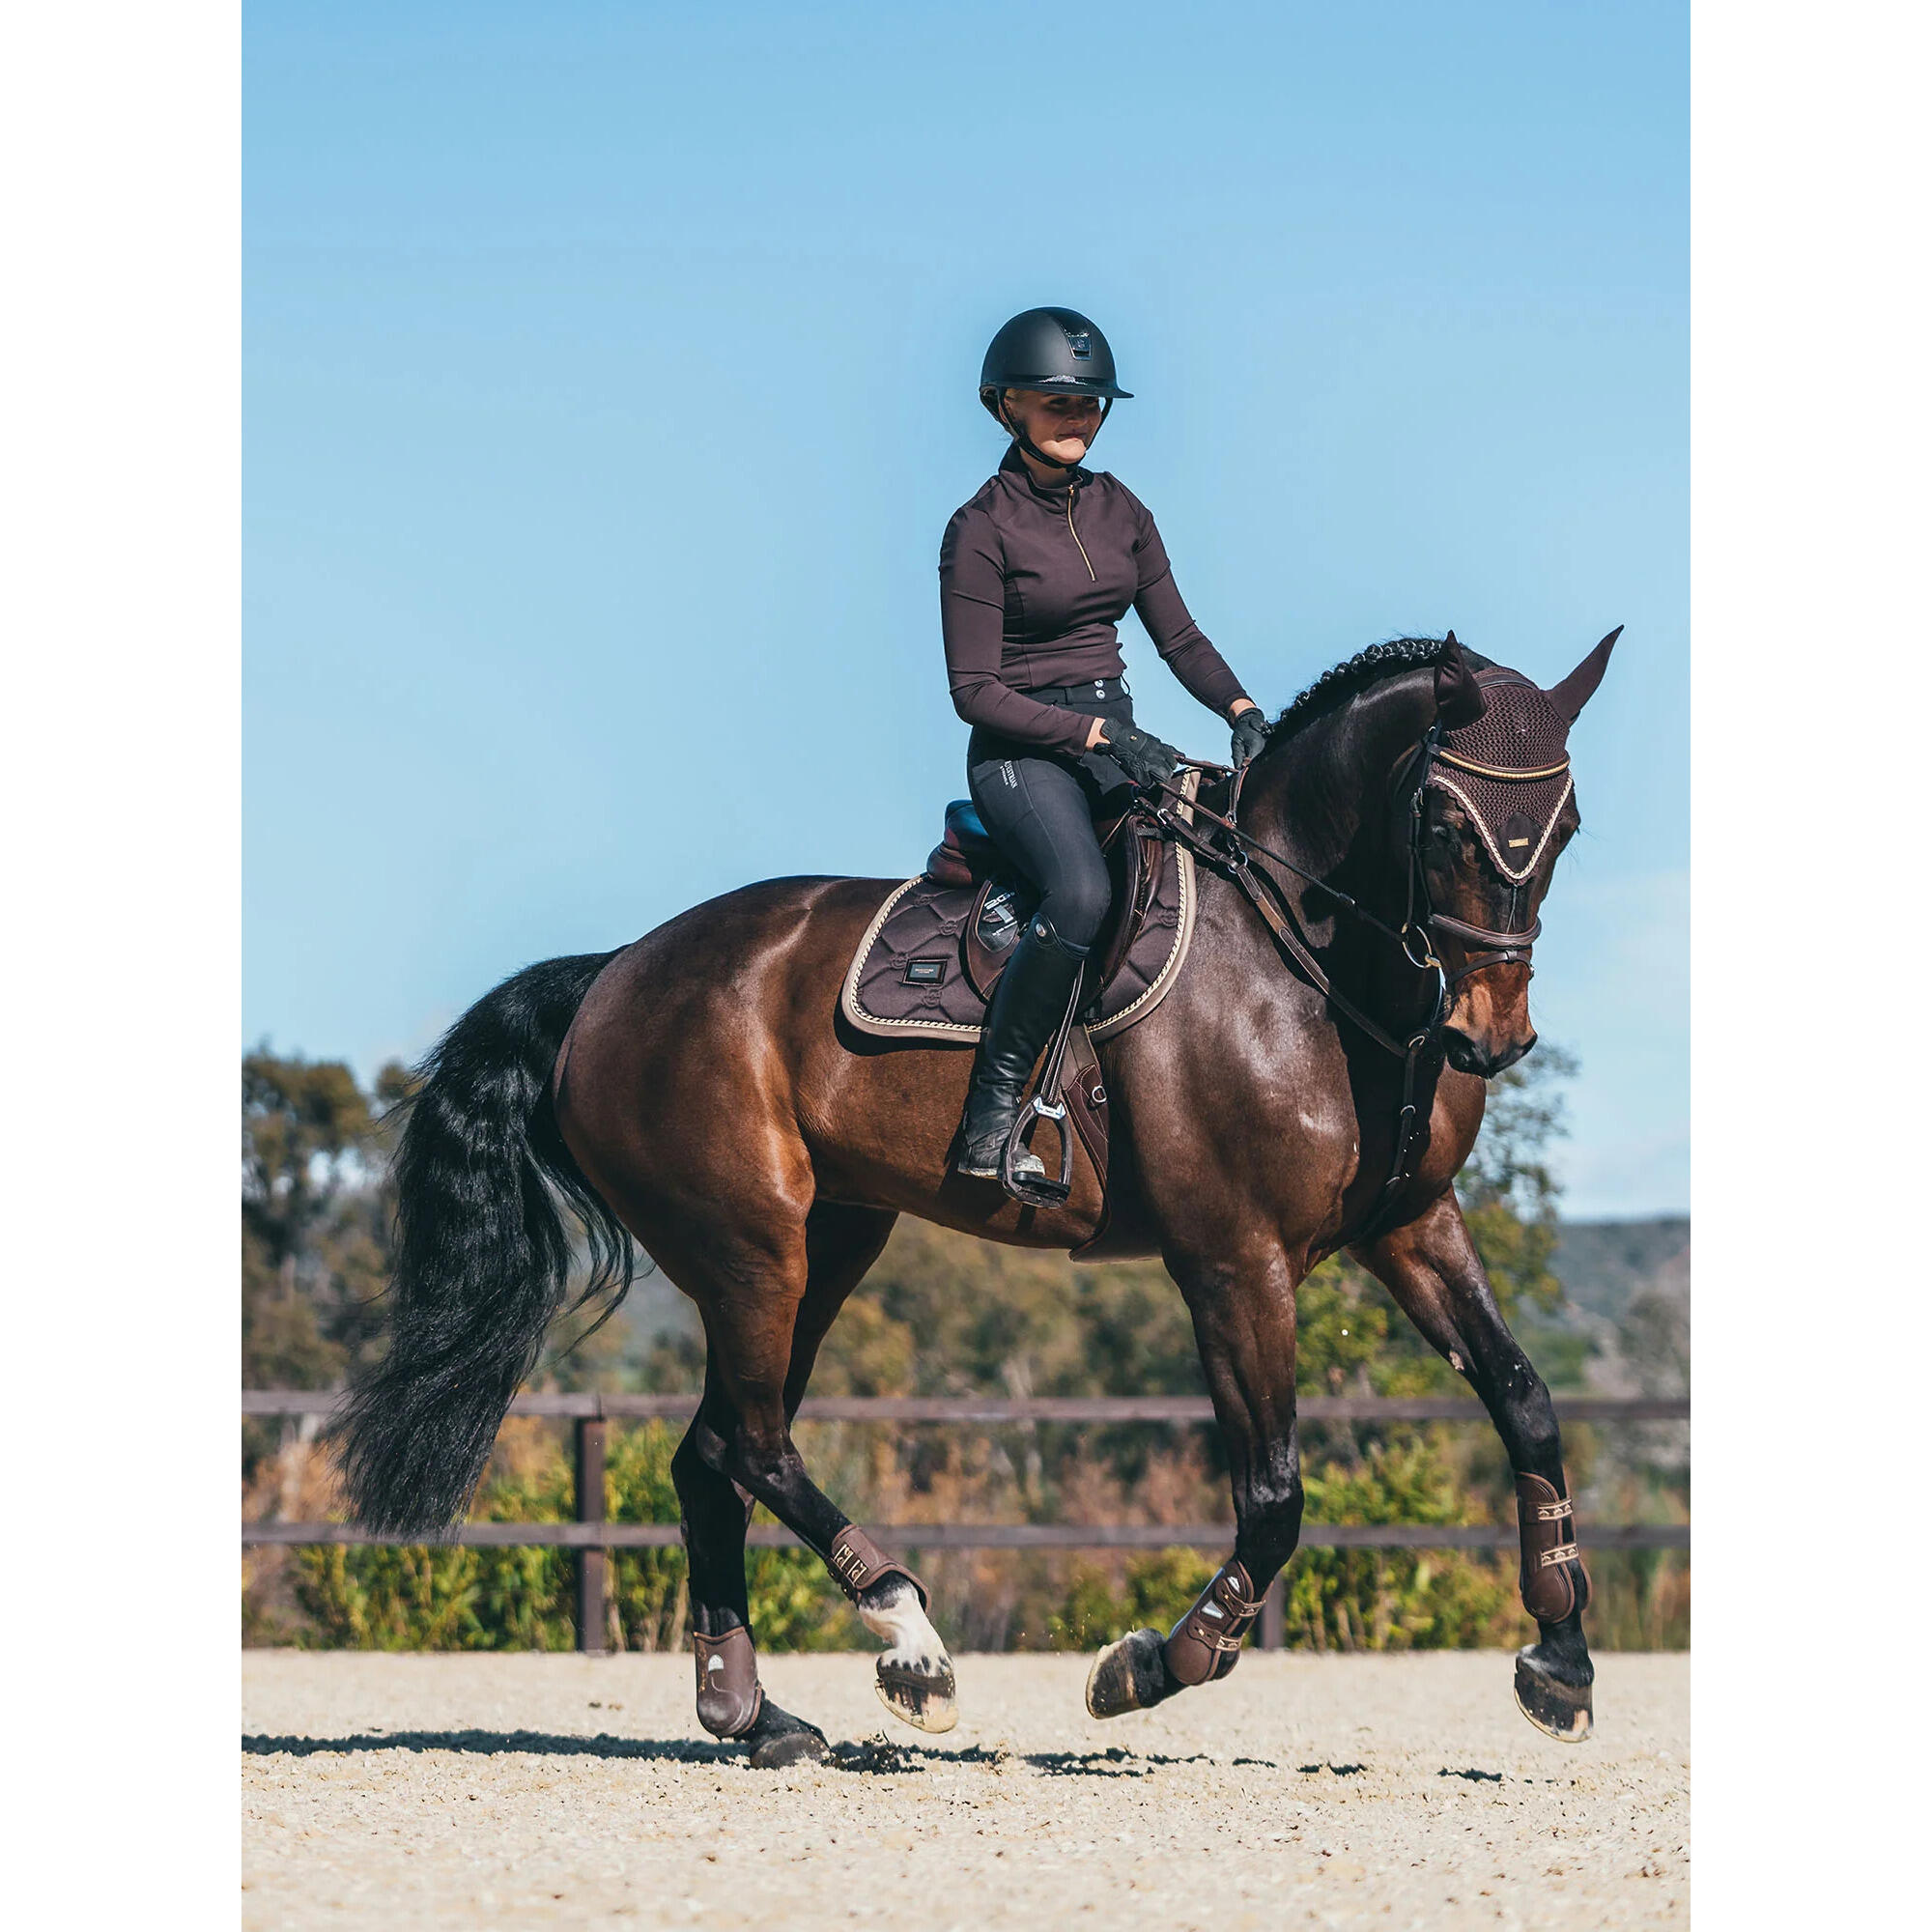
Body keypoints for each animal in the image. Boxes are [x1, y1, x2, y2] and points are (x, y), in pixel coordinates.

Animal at [334, 629, 1618, 1767]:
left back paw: (755, 1717)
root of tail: (610, 976)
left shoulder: (1410, 1226)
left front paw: (1558, 1660)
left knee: (711, 1457)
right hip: (752, 1249)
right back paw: (911, 1642)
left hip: (827, 1243)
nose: (1491, 1036)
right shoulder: (1231, 1258)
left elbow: (1524, 1401)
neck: (1303, 963)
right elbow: (1272, 1498)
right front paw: (1146, 1664)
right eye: (1444, 823)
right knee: (752, 1444)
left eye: (1562, 826)